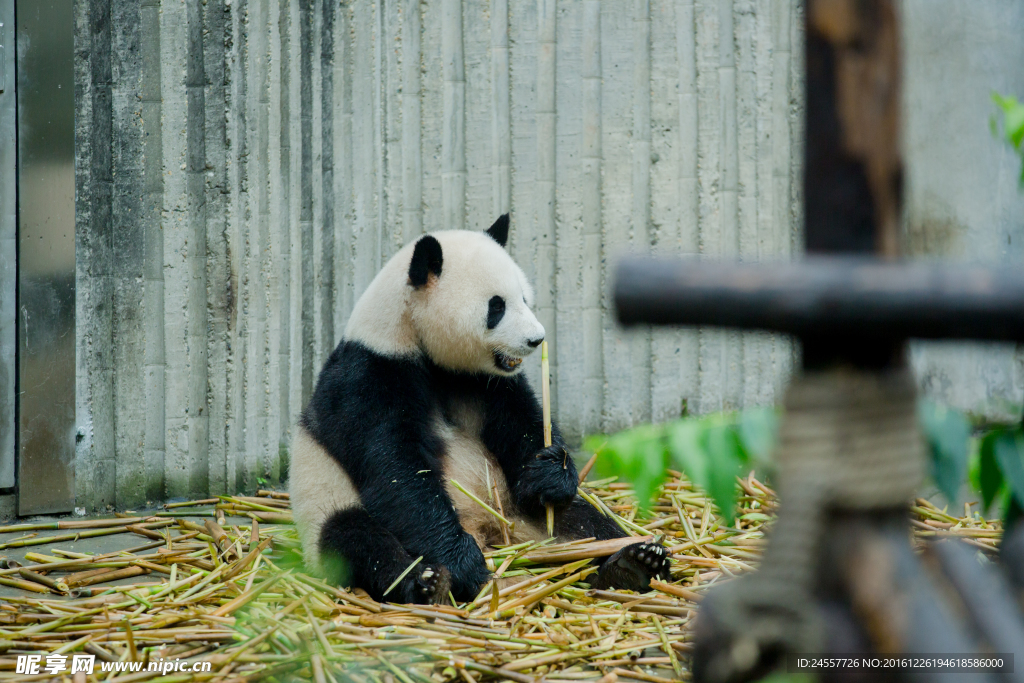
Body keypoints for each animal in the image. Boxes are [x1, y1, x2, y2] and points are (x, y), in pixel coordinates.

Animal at [288, 216, 671, 606]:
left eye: (524, 297)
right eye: (496, 307)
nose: (536, 339)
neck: (414, 340)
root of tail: (492, 533)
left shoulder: (483, 382)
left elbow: (519, 424)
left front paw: (549, 471)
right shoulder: (369, 378)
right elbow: (397, 473)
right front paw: (464, 565)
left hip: (516, 509)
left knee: (586, 524)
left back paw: (631, 562)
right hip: (326, 504)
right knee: (357, 539)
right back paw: (425, 584)